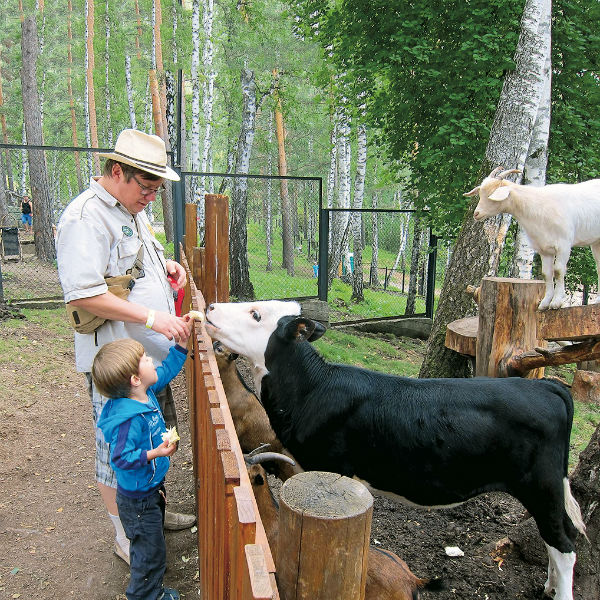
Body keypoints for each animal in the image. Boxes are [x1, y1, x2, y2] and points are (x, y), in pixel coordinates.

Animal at [466, 168, 600, 312]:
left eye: (492, 194)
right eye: (480, 193)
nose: (476, 214)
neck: (537, 205)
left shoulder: (563, 245)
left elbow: (558, 271)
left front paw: (556, 302)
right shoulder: (544, 248)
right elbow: (547, 273)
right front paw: (545, 303)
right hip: (596, 242)